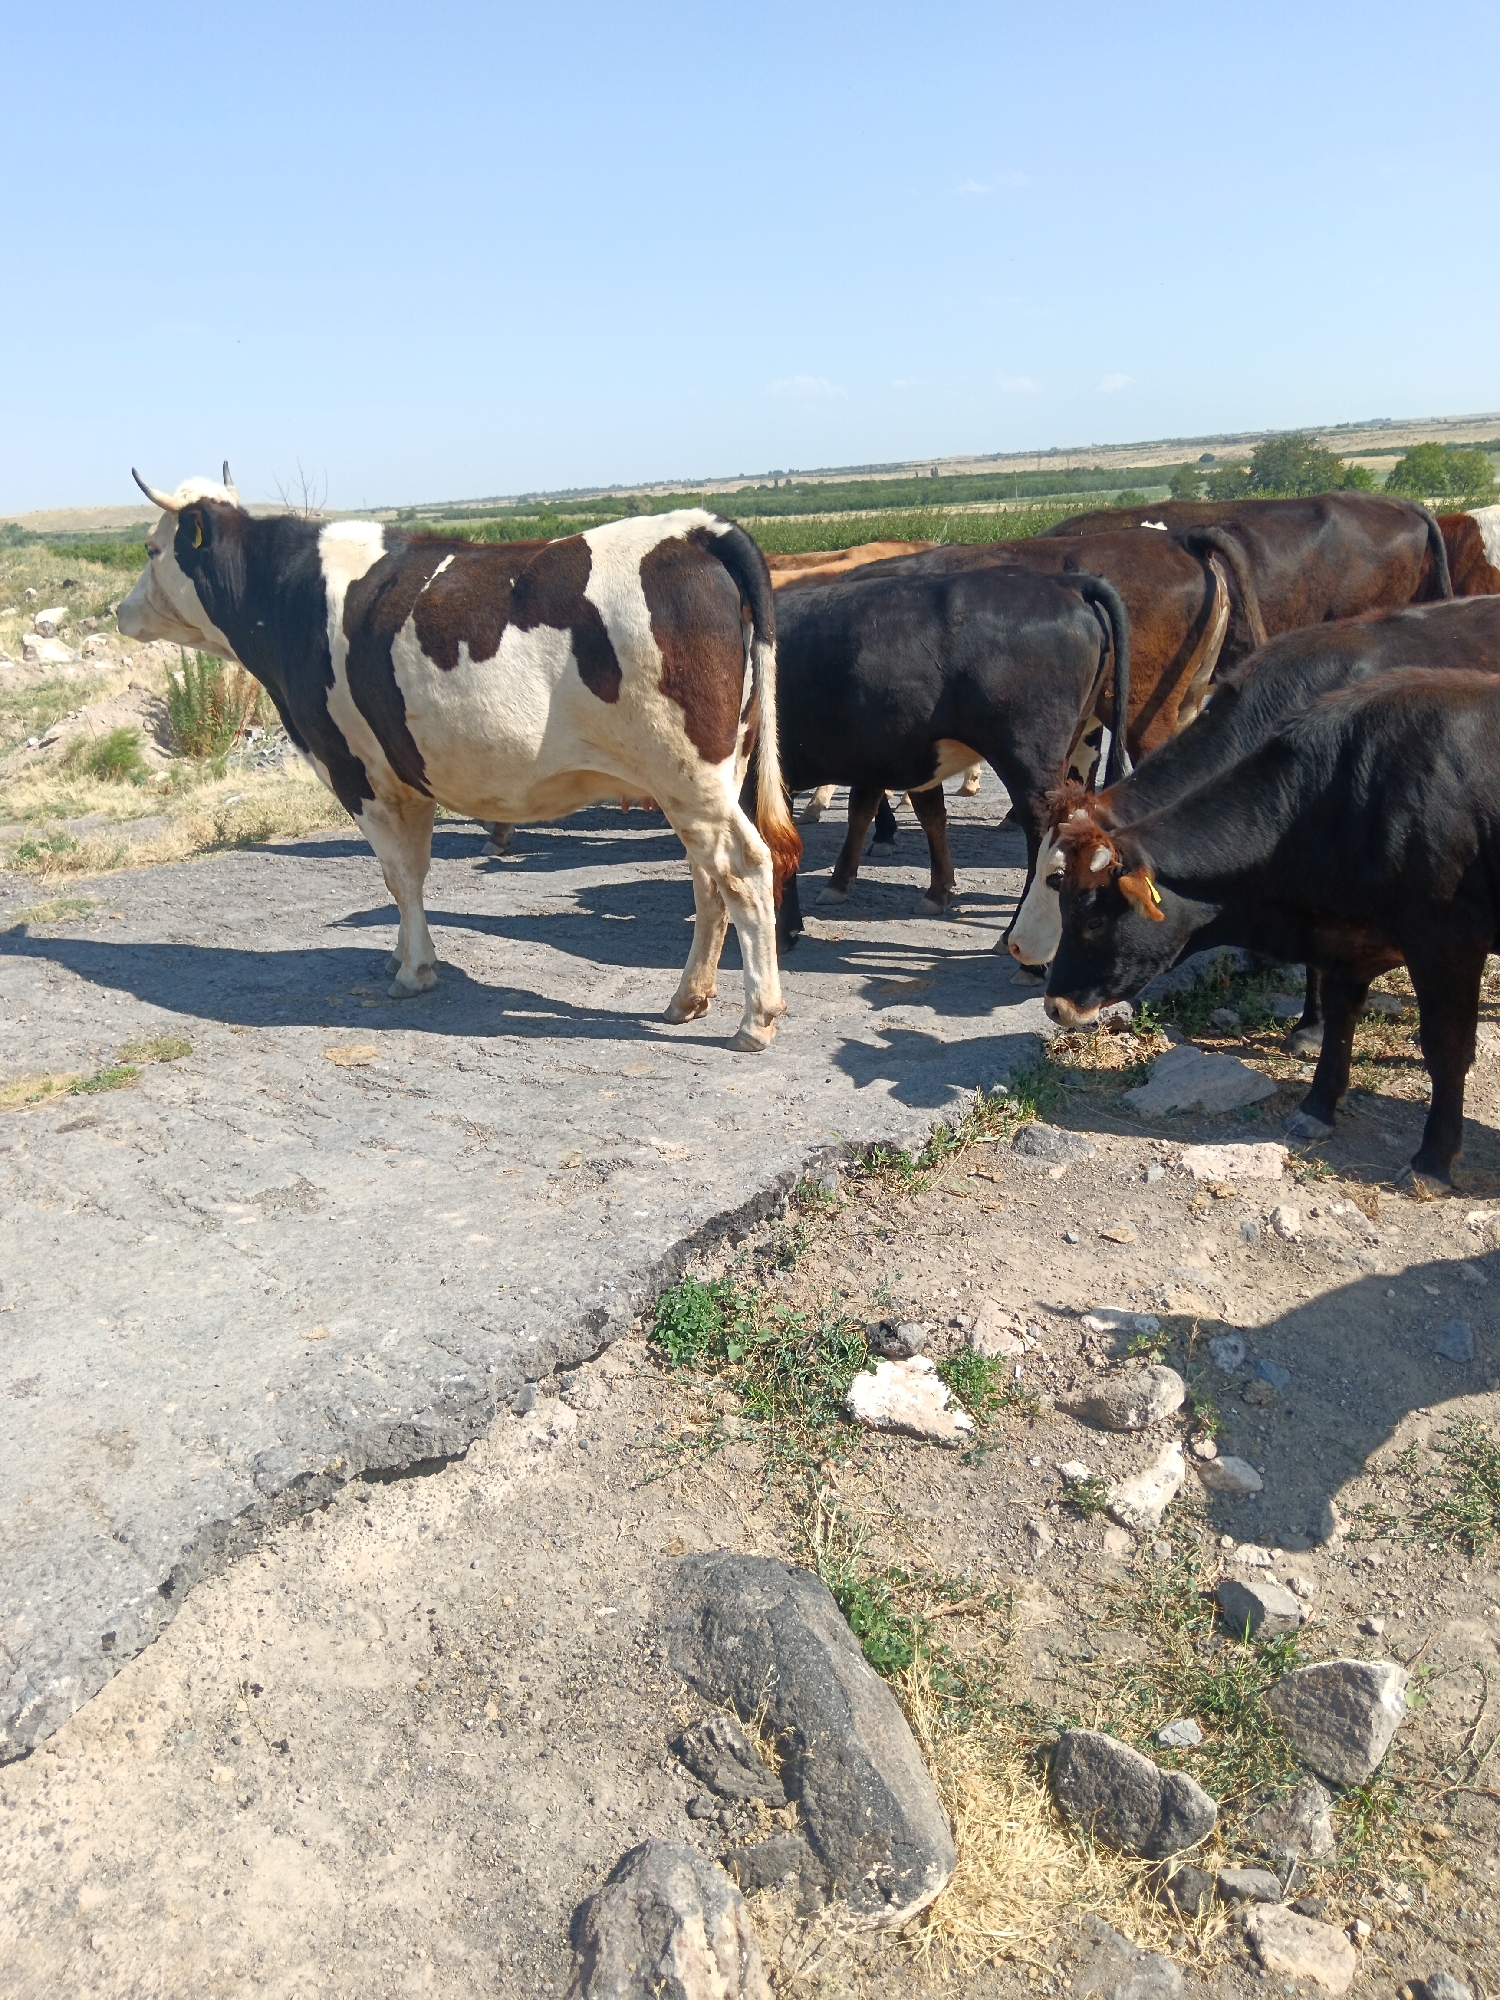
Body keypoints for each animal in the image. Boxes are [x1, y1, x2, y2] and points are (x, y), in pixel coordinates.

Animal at [117, 472, 800, 1051]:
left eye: (151, 549)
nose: (119, 611)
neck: (291, 593)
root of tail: (698, 528)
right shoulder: (409, 776)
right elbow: (406, 876)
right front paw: (401, 955)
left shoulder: (357, 771)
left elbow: (399, 875)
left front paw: (415, 971)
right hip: (712, 776)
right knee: (708, 880)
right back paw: (688, 998)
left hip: (689, 773)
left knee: (744, 868)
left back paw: (756, 1018)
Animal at [1042, 661, 1500, 1192]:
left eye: (1094, 920)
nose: (1054, 1006)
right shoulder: (1345, 938)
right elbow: (1339, 1017)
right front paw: (1318, 1108)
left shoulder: (1448, 943)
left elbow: (1446, 1046)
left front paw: (1433, 1159)